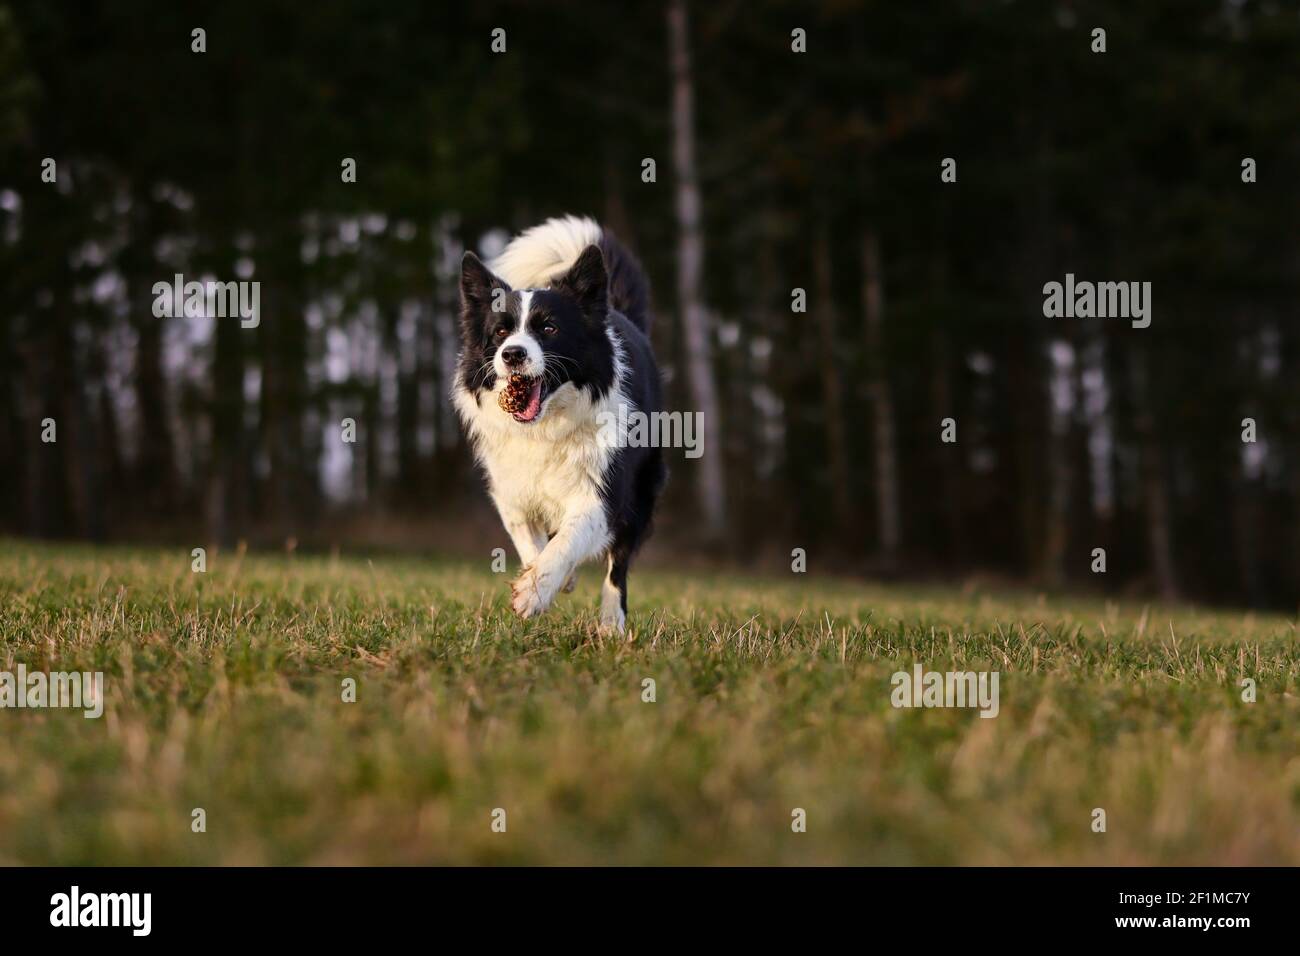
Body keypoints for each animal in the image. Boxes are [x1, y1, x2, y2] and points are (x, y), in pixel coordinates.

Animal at [452, 217, 665, 634]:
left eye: (548, 329)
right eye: (500, 331)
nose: (512, 354)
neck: (544, 426)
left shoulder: (605, 492)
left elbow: (570, 538)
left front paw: (534, 593)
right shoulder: (510, 490)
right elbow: (529, 538)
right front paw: (551, 578)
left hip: (643, 490)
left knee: (618, 566)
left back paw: (611, 625)